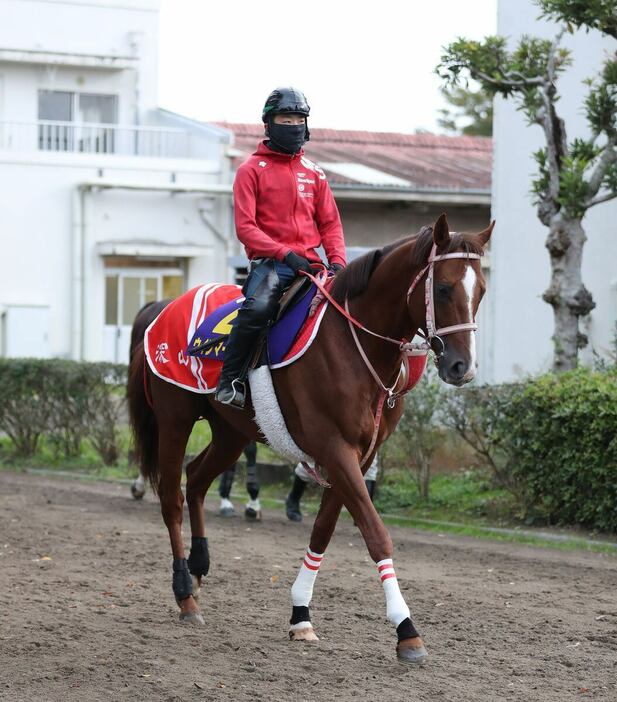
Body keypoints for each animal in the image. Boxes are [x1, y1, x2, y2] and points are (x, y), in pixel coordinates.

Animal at [127, 214, 494, 664]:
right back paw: (184, 593)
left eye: (481, 290)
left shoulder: (359, 453)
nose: (463, 367)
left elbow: (323, 529)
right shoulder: (334, 449)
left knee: (195, 478)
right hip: (175, 419)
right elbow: (375, 533)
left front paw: (300, 613)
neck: (354, 345)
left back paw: (199, 567)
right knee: (172, 498)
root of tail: (163, 308)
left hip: (232, 431)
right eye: (442, 287)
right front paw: (406, 629)